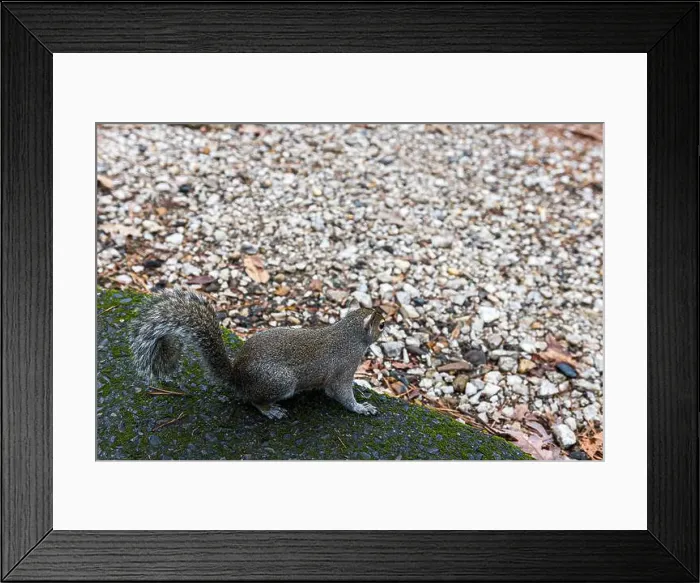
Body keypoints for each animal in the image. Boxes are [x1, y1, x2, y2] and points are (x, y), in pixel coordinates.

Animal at [130, 288, 385, 419]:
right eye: (381, 325)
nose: (387, 323)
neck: (348, 334)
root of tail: (237, 377)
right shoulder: (344, 368)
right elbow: (340, 394)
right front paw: (362, 408)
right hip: (280, 381)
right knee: (253, 400)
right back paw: (270, 410)